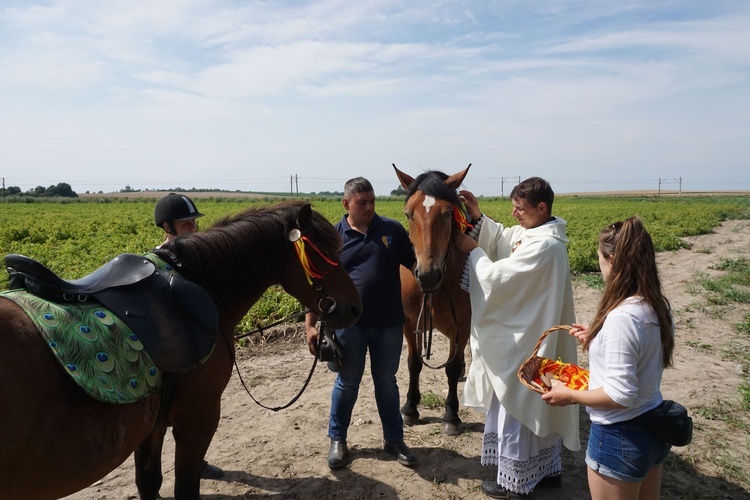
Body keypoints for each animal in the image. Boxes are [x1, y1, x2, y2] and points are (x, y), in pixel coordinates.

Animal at [0, 201, 364, 500]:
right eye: (321, 253)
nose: (355, 308)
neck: (199, 287)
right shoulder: (197, 417)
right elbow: (184, 487)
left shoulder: (154, 423)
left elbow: (149, 482)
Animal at [396, 166, 472, 436]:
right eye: (408, 214)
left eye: (448, 213)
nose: (428, 275)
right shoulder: (409, 323)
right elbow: (413, 364)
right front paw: (410, 408)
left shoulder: (462, 326)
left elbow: (451, 367)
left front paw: (451, 415)